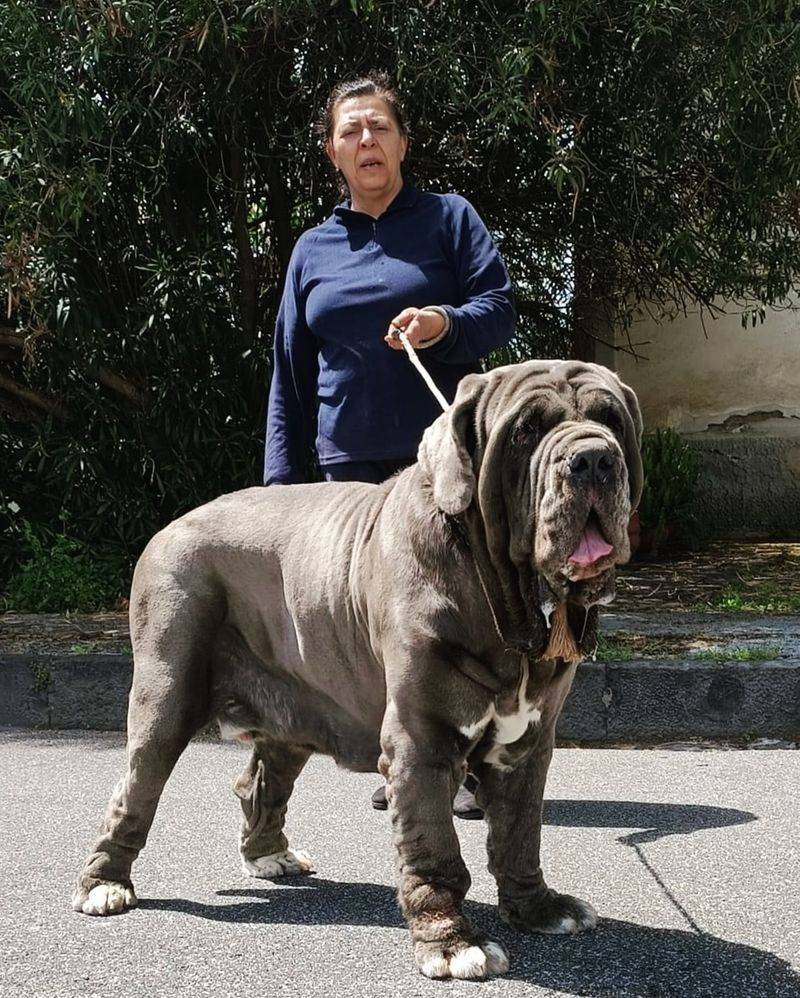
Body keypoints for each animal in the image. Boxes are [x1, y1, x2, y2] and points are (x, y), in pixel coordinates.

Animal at [70, 362, 644, 984]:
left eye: (612, 421)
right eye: (525, 432)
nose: (594, 459)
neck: (502, 592)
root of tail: (168, 528)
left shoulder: (526, 747)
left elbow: (519, 835)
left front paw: (538, 908)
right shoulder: (421, 742)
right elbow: (434, 847)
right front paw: (450, 942)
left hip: (293, 711)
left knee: (260, 780)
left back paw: (269, 855)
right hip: (166, 691)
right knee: (135, 790)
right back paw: (104, 884)